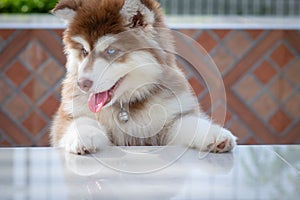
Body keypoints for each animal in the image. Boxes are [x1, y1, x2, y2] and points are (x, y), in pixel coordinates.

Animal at [49, 0, 237, 155]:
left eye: (111, 50)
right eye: (84, 51)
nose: (82, 84)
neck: (125, 106)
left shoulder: (169, 123)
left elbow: (191, 123)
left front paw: (215, 134)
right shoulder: (68, 116)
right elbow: (81, 122)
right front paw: (83, 136)